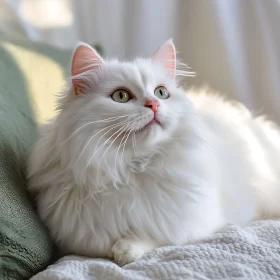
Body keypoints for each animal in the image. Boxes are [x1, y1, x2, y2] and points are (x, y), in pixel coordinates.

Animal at [27, 39, 280, 264]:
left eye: (161, 93)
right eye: (121, 96)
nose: (154, 105)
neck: (131, 167)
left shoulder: (194, 223)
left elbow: (155, 234)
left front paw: (126, 250)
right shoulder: (79, 239)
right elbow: (104, 244)